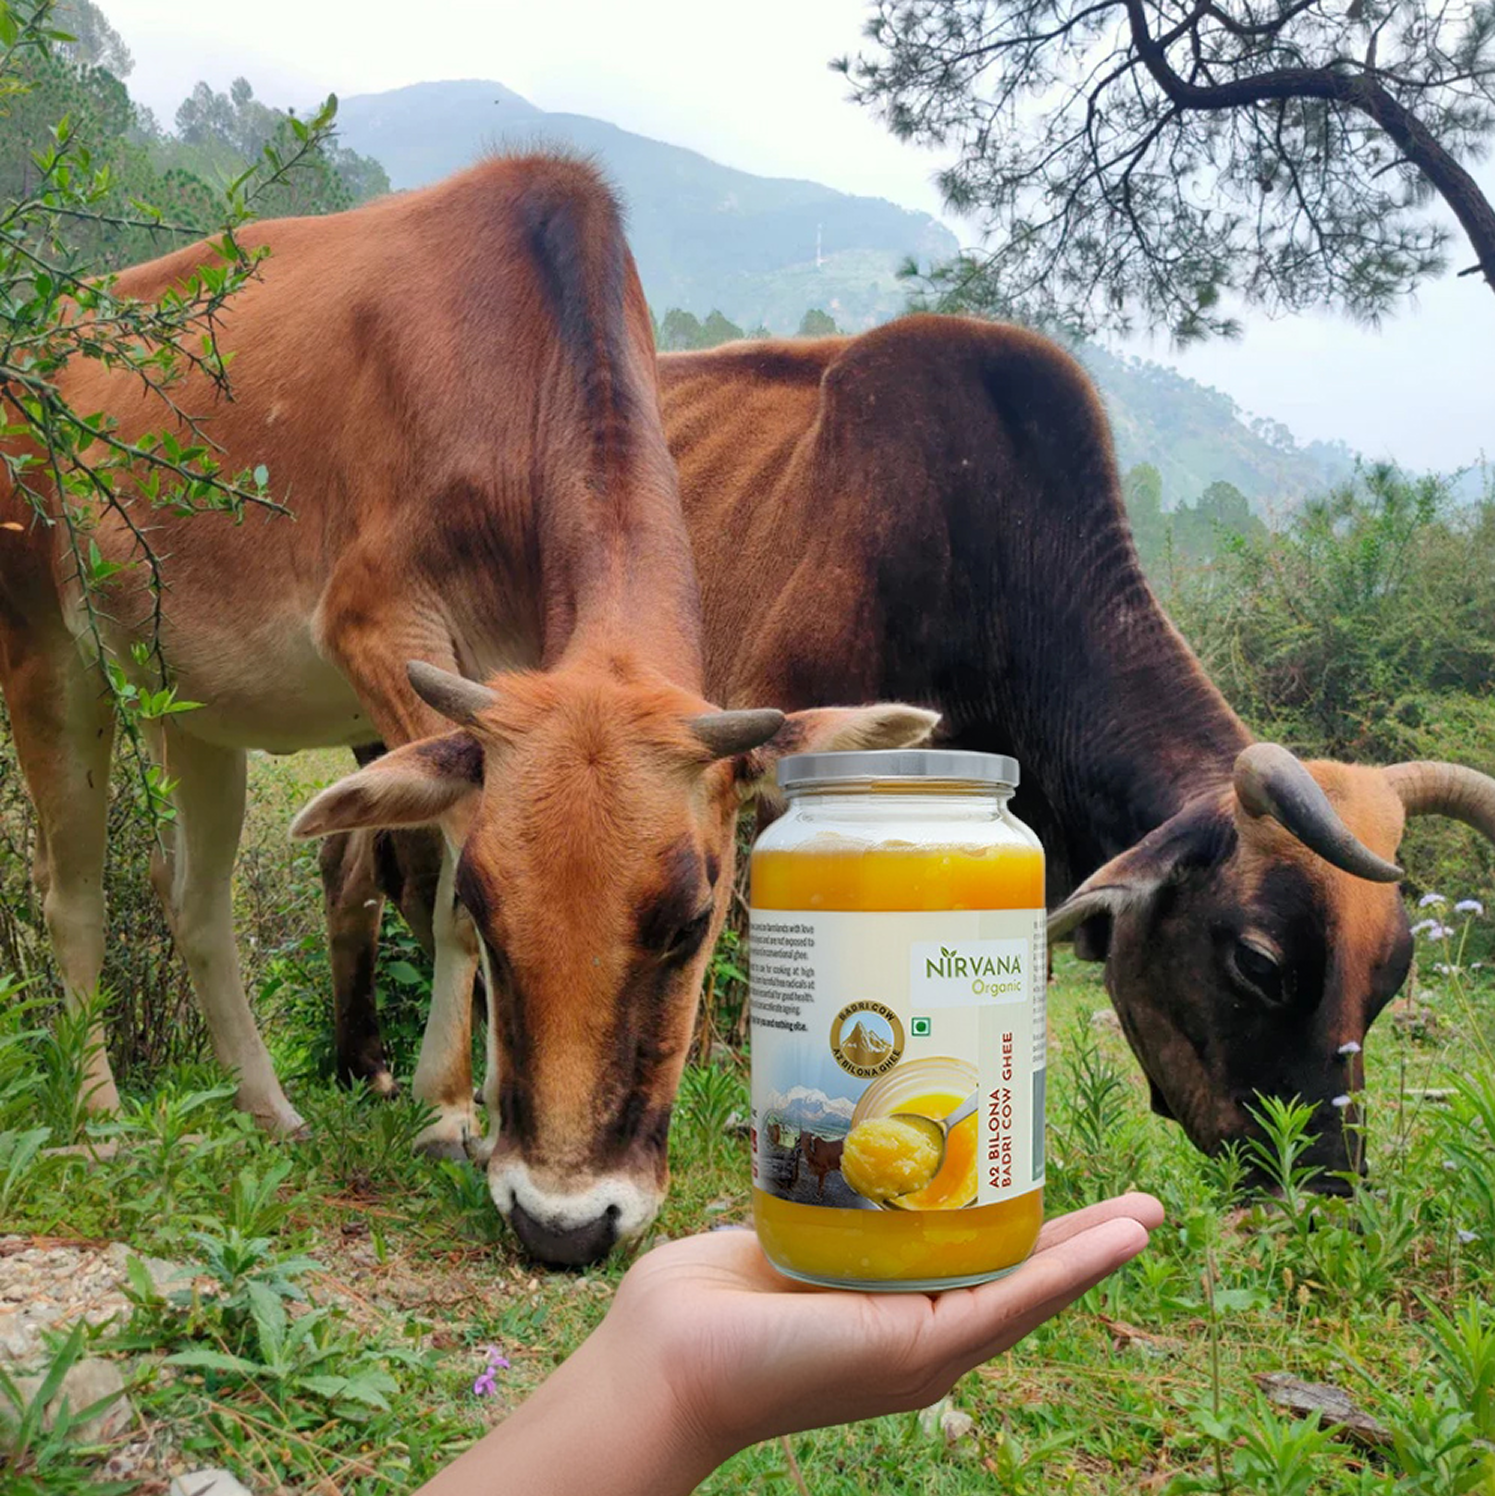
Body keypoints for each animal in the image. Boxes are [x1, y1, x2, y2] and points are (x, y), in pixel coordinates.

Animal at [0, 156, 936, 1268]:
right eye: (497, 913)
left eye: (690, 920)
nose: (564, 1222)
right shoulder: (376, 626)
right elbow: (441, 868)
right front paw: (448, 1108)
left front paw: (466, 1110)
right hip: (45, 653)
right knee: (74, 891)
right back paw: (100, 1110)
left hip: (193, 714)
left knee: (193, 897)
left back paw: (270, 1106)